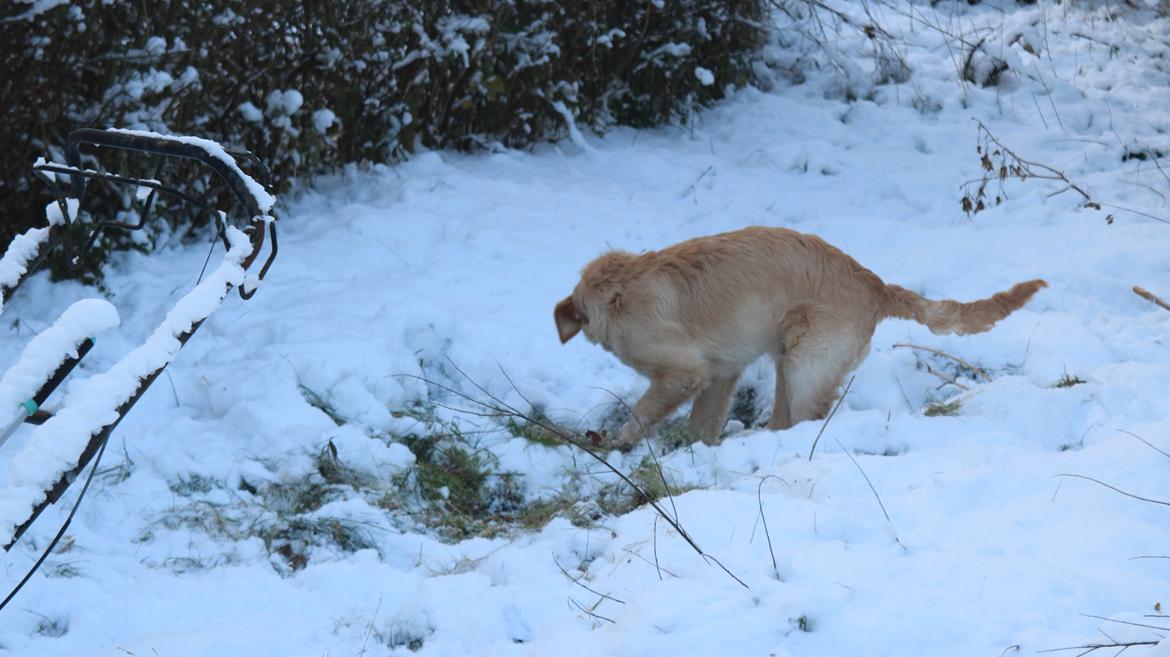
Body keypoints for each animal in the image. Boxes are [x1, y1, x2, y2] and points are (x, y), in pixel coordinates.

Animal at [552, 224, 1048, 444]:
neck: (620, 291)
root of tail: (875, 285)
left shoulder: (683, 371)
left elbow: (641, 414)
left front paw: (617, 446)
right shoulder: (722, 373)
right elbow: (702, 424)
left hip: (806, 364)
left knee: (807, 419)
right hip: (787, 362)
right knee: (783, 419)